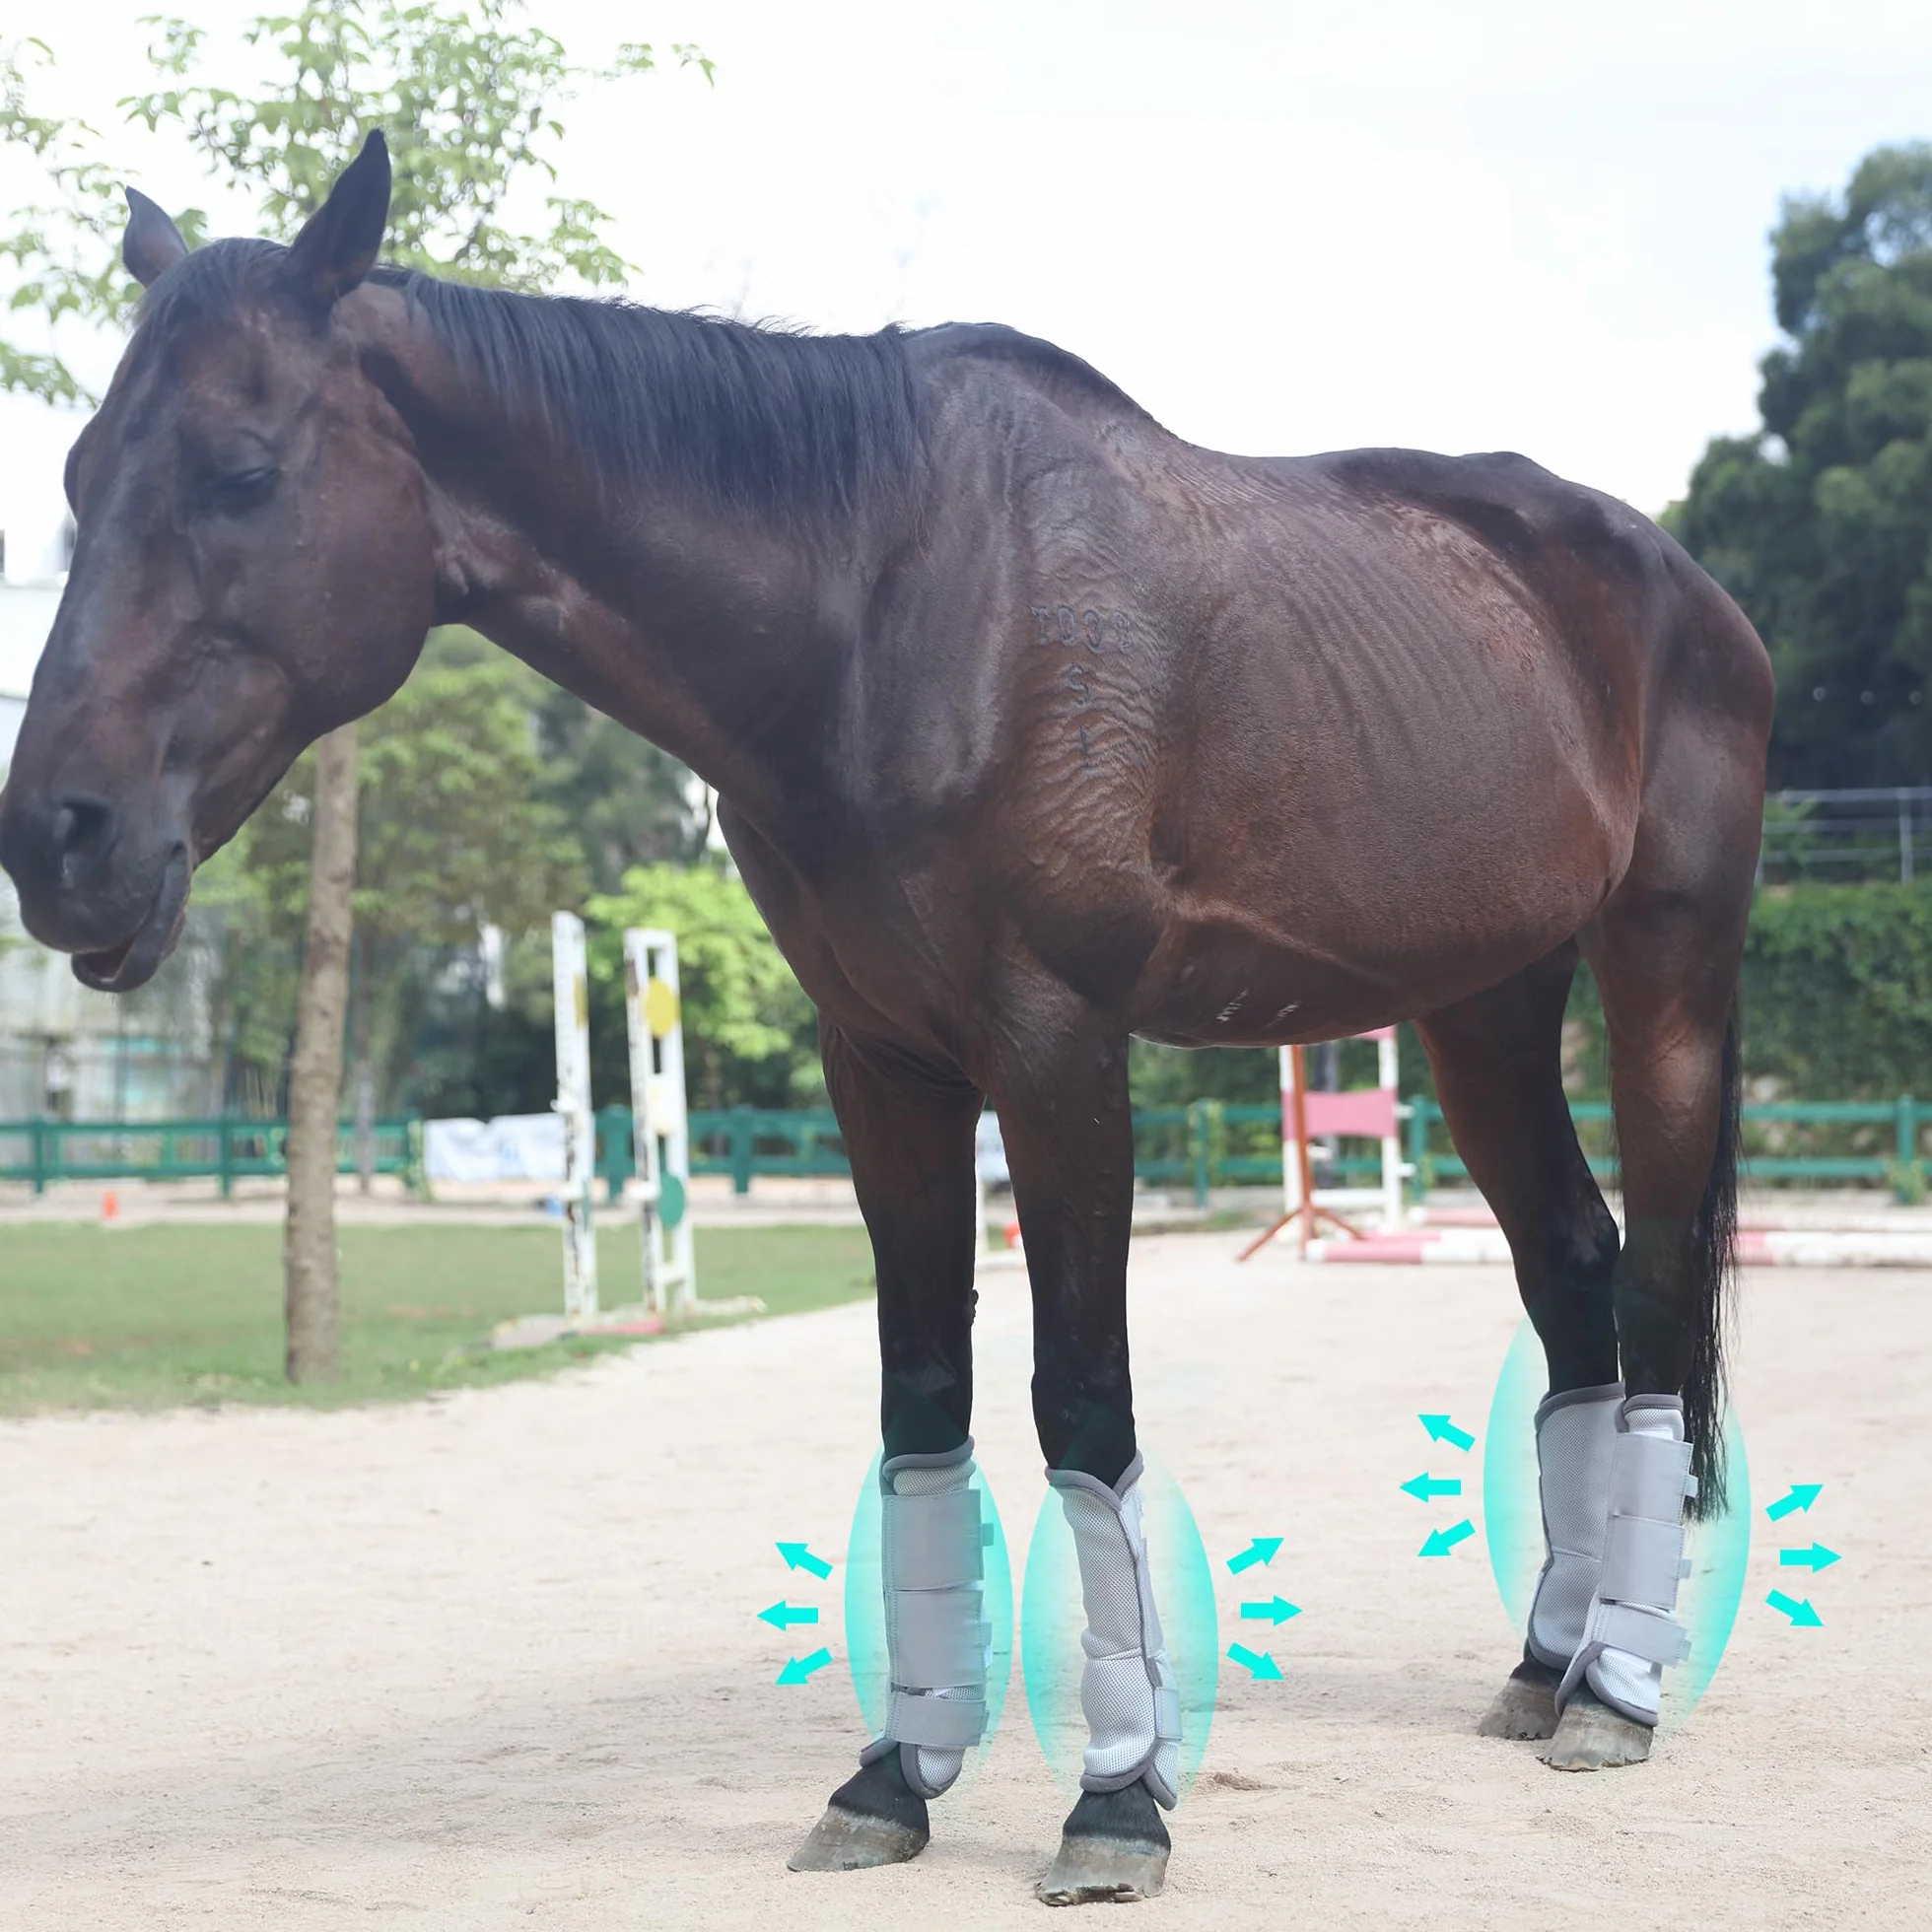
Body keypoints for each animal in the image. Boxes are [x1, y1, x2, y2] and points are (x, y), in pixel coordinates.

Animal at [0, 135, 1772, 1903]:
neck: (889, 604)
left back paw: (1618, 1687)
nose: (55, 840)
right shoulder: (884, 1062)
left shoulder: (1057, 1048)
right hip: (1484, 1012)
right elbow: (921, 1394)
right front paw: (894, 1776)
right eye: (79, 475)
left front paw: (1118, 1802)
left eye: (239, 471)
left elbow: (1082, 1399)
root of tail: (1684, 584)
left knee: (1656, 1282)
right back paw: (1544, 1665)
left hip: (1662, 974)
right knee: (1575, 1278)